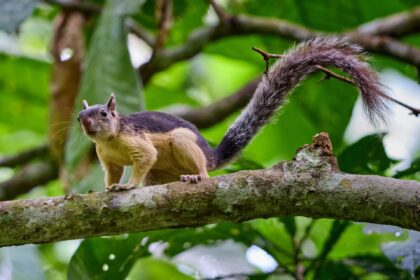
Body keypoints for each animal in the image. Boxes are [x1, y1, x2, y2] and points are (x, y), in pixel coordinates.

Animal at [78, 37, 388, 191]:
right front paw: (108, 188)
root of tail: (212, 155)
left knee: (200, 167)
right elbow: (112, 173)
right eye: (80, 117)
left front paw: (128, 187)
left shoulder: (138, 143)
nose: (87, 124)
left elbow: (144, 158)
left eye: (104, 113)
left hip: (183, 144)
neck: (110, 140)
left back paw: (198, 177)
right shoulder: (107, 160)